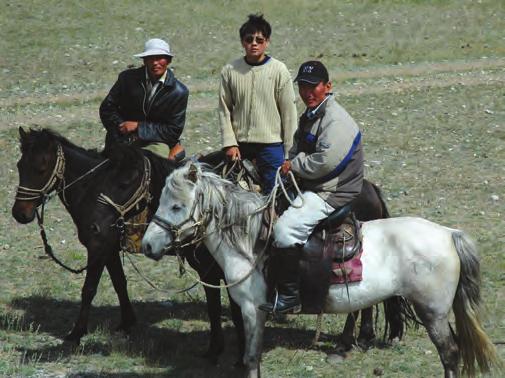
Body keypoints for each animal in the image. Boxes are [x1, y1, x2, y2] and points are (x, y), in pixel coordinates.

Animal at [141, 163, 496, 378]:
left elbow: (252, 358)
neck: (250, 241)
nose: (147, 245)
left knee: (450, 353)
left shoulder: (252, 309)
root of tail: (448, 233)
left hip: (433, 312)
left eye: (176, 206)